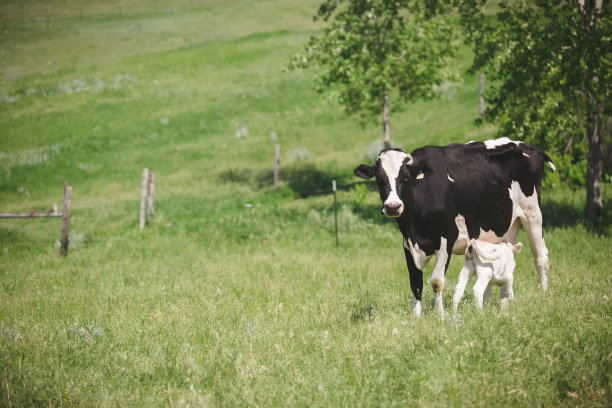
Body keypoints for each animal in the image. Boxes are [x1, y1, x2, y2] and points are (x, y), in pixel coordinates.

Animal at [352, 137, 556, 316]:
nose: (393, 206)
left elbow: (436, 281)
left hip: (532, 214)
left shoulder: (446, 239)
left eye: (405, 179)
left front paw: (439, 314)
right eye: (380, 180)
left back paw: (544, 294)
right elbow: (415, 282)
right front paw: (416, 317)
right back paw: (497, 302)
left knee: (541, 257)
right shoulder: (407, 244)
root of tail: (528, 146)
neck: (414, 228)